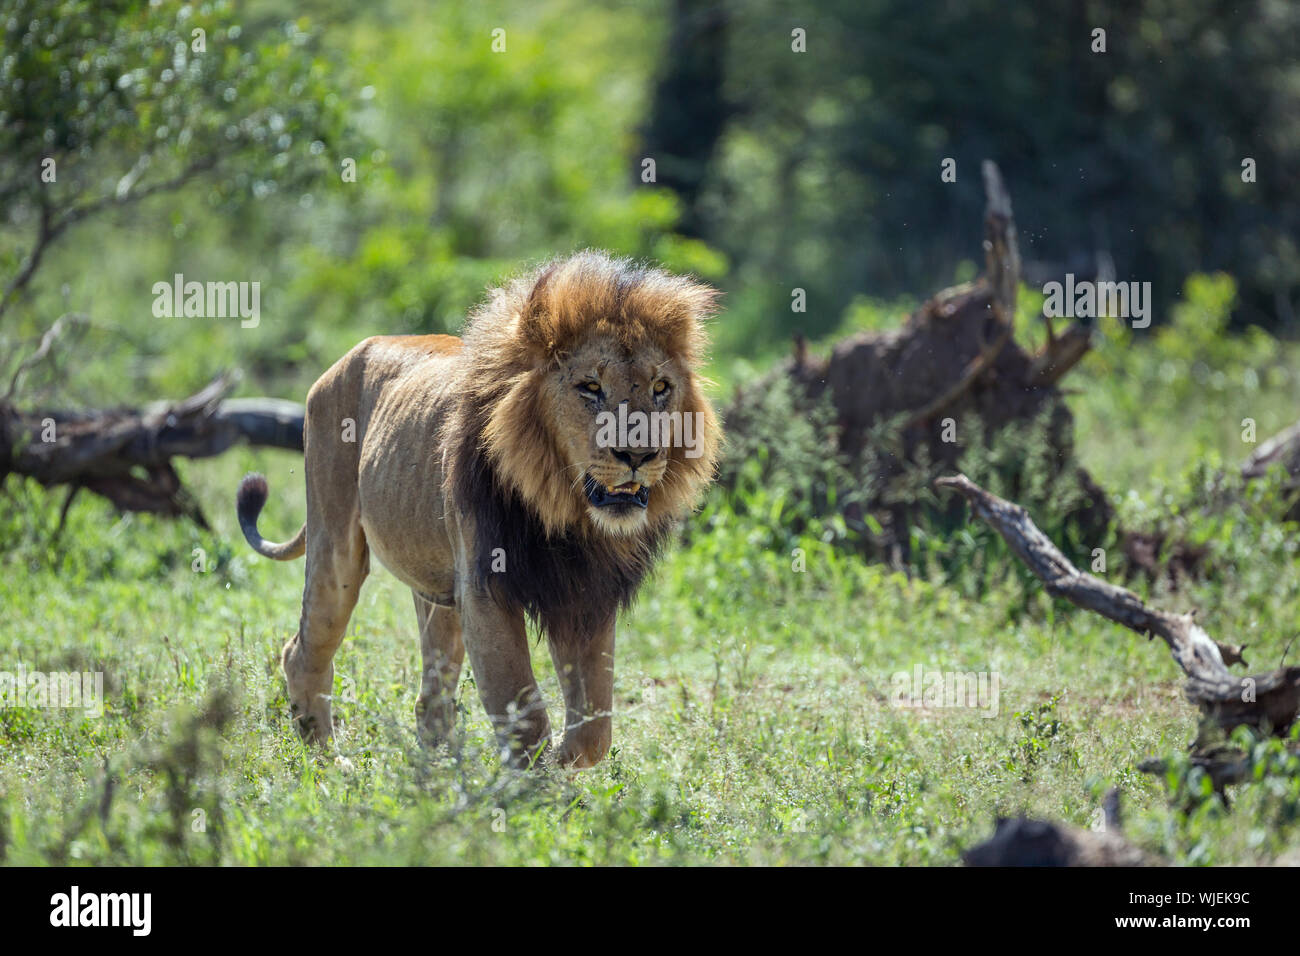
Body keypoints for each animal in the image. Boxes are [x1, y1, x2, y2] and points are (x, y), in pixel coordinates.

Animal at [236, 251, 721, 769]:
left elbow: (595, 726)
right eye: (590, 387)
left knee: (431, 696)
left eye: (661, 387)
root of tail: (347, 355)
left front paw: (558, 764)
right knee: (304, 650)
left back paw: (440, 772)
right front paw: (533, 782)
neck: (565, 512)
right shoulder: (487, 589)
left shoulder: (585, 594)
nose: (639, 455)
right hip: (336, 546)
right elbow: (525, 711)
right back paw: (326, 760)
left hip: (438, 588)